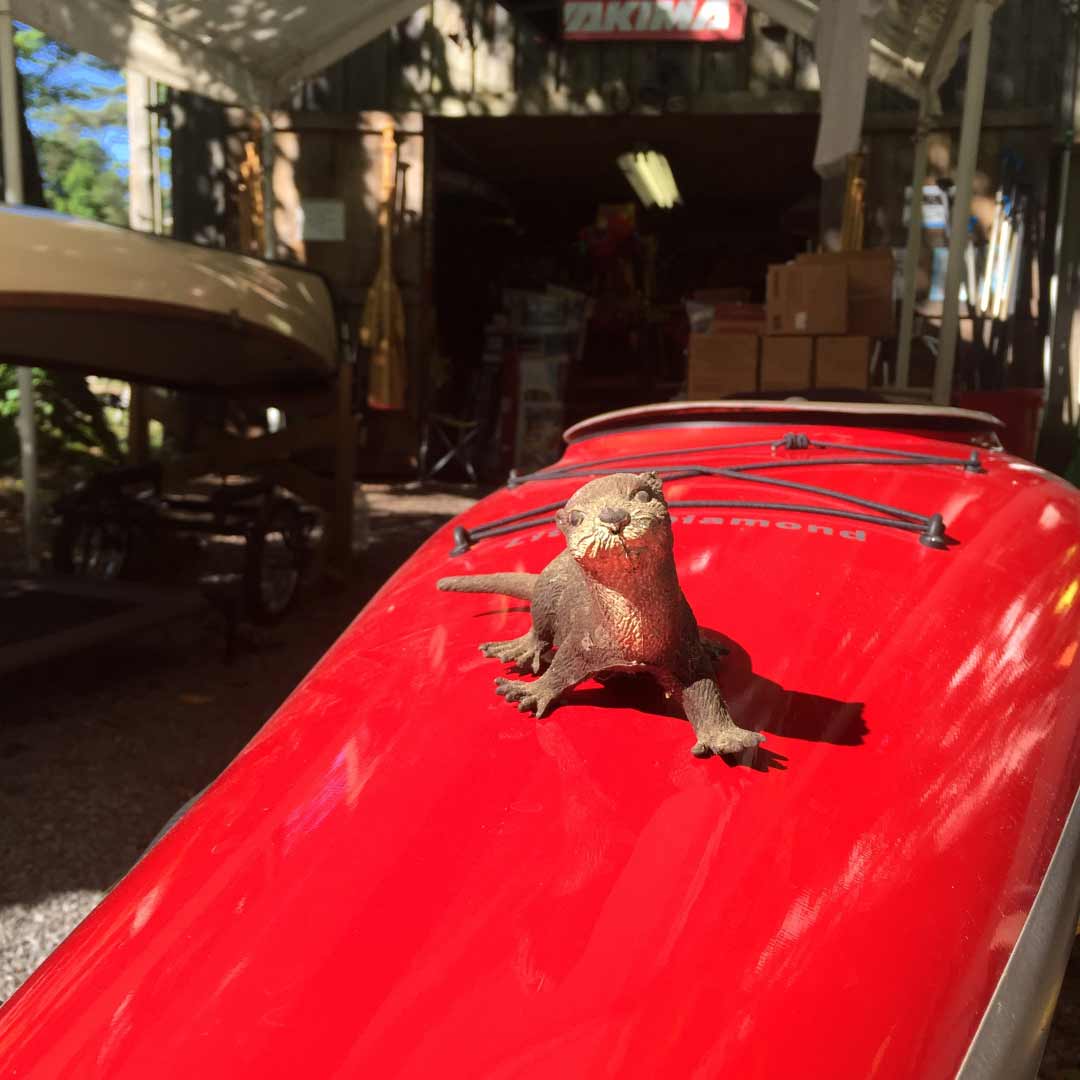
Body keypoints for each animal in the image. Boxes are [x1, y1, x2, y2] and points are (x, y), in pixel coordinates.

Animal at [437, 471, 764, 758]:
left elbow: (707, 691)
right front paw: (532, 691)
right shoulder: (583, 641)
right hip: (546, 592)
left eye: (642, 494)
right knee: (538, 628)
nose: (613, 516)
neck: (635, 640)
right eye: (575, 518)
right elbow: (559, 670)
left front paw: (727, 738)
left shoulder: (683, 647)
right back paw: (520, 649)